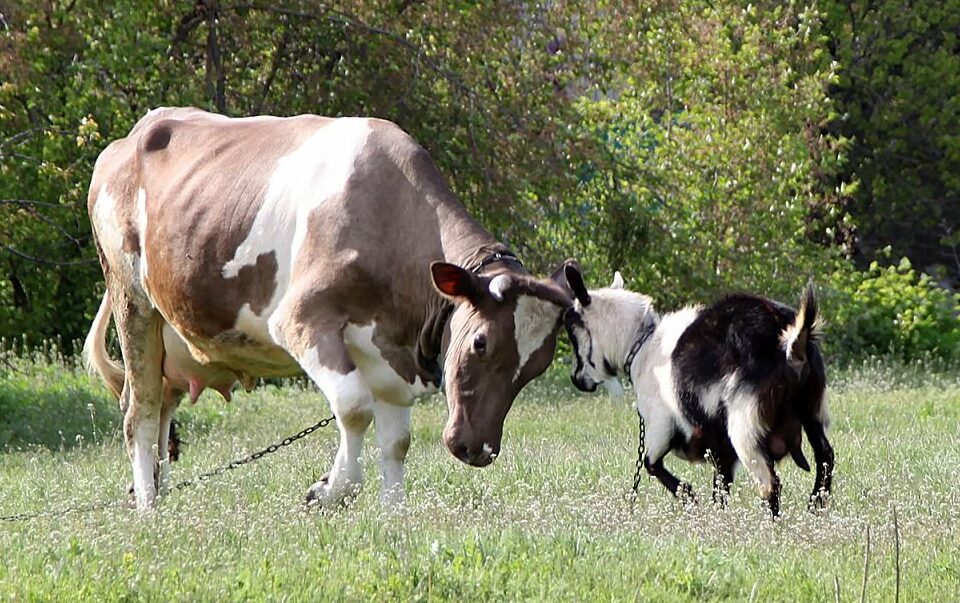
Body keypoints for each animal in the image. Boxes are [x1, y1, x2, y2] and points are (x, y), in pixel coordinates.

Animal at [82, 107, 572, 510]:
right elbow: (354, 407)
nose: (478, 449)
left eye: (537, 368)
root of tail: (133, 135)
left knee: (162, 401)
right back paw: (148, 508)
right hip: (132, 300)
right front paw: (330, 491)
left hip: (173, 334)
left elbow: (397, 440)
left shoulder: (388, 351)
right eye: (480, 343)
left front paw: (394, 517)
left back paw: (153, 491)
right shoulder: (302, 319)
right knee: (140, 409)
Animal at [564, 270, 832, 520]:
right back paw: (815, 508)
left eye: (574, 332)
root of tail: (789, 339)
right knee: (825, 458)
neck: (642, 344)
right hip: (811, 410)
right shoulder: (721, 450)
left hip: (744, 426)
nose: (576, 379)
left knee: (770, 484)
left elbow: (651, 464)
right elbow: (720, 487)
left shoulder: (660, 425)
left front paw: (689, 496)